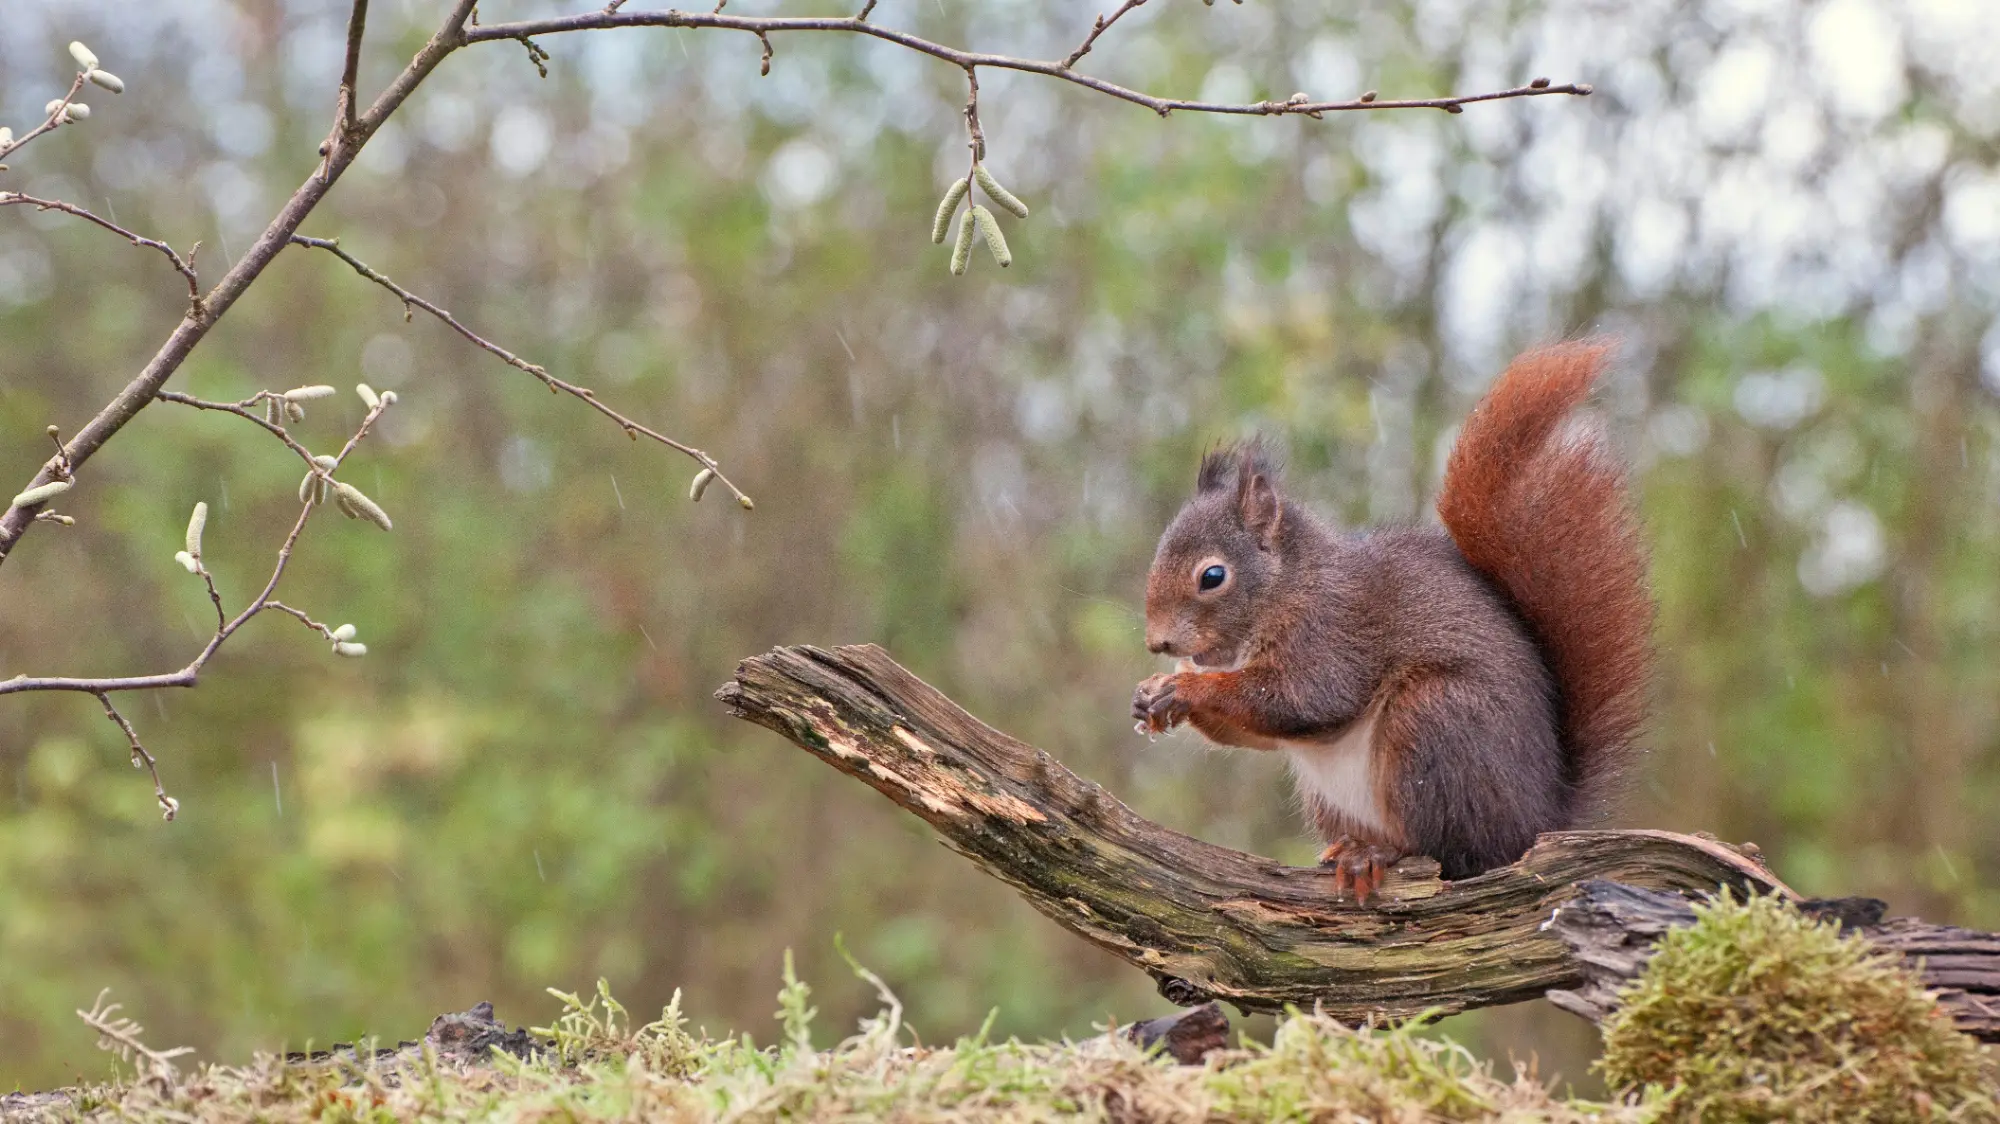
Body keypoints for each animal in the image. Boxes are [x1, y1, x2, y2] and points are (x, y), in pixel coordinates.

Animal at [1131, 341, 1653, 902]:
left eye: (1212, 576)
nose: (1158, 643)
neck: (1289, 588)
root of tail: (1536, 823)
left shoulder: (1330, 632)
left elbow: (1303, 699)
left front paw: (1187, 689)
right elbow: (1261, 733)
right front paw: (1156, 694)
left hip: (1433, 722)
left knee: (1447, 850)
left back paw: (1377, 853)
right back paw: (1349, 847)